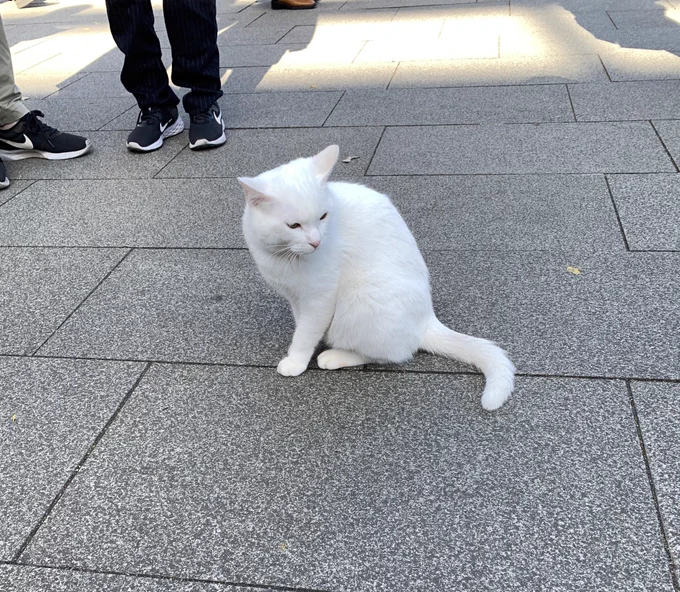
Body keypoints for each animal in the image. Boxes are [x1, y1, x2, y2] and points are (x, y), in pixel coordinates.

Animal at [240, 146, 516, 410]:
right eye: (293, 226)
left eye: (323, 217)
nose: (316, 242)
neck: (283, 257)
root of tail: (427, 320)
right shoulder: (294, 297)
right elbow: (303, 325)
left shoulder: (320, 298)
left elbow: (306, 332)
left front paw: (297, 360)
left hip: (360, 304)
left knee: (391, 354)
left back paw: (336, 355)